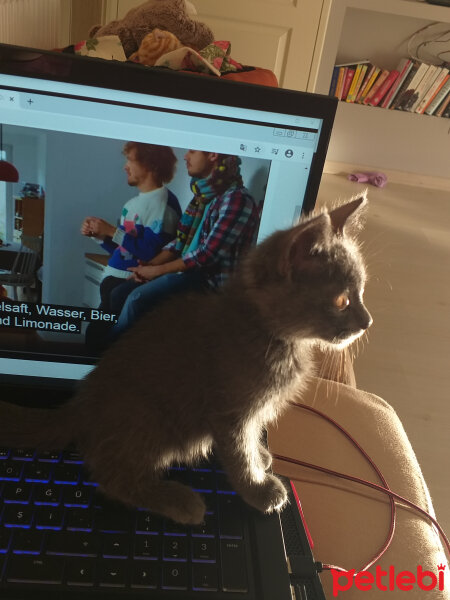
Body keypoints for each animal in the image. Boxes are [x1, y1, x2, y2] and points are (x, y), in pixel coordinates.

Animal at [0, 196, 372, 524]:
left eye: (362, 291)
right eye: (341, 301)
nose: (367, 322)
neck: (264, 332)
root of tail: (80, 404)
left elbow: (252, 439)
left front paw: (261, 455)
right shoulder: (230, 410)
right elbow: (239, 453)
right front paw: (258, 489)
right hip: (146, 414)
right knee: (112, 476)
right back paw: (180, 501)